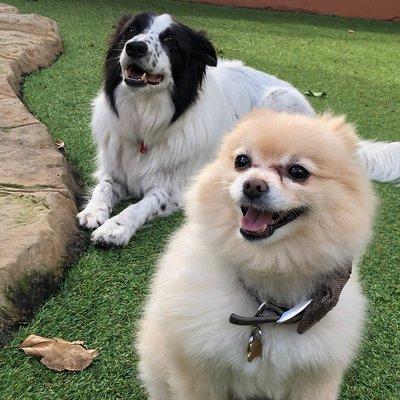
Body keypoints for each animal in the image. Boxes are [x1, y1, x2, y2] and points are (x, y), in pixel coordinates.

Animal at [78, 11, 400, 247]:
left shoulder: (174, 188)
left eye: (169, 40)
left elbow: (142, 205)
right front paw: (94, 211)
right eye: (131, 32)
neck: (146, 118)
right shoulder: (115, 168)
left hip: (277, 101)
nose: (134, 47)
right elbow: (104, 187)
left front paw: (116, 227)